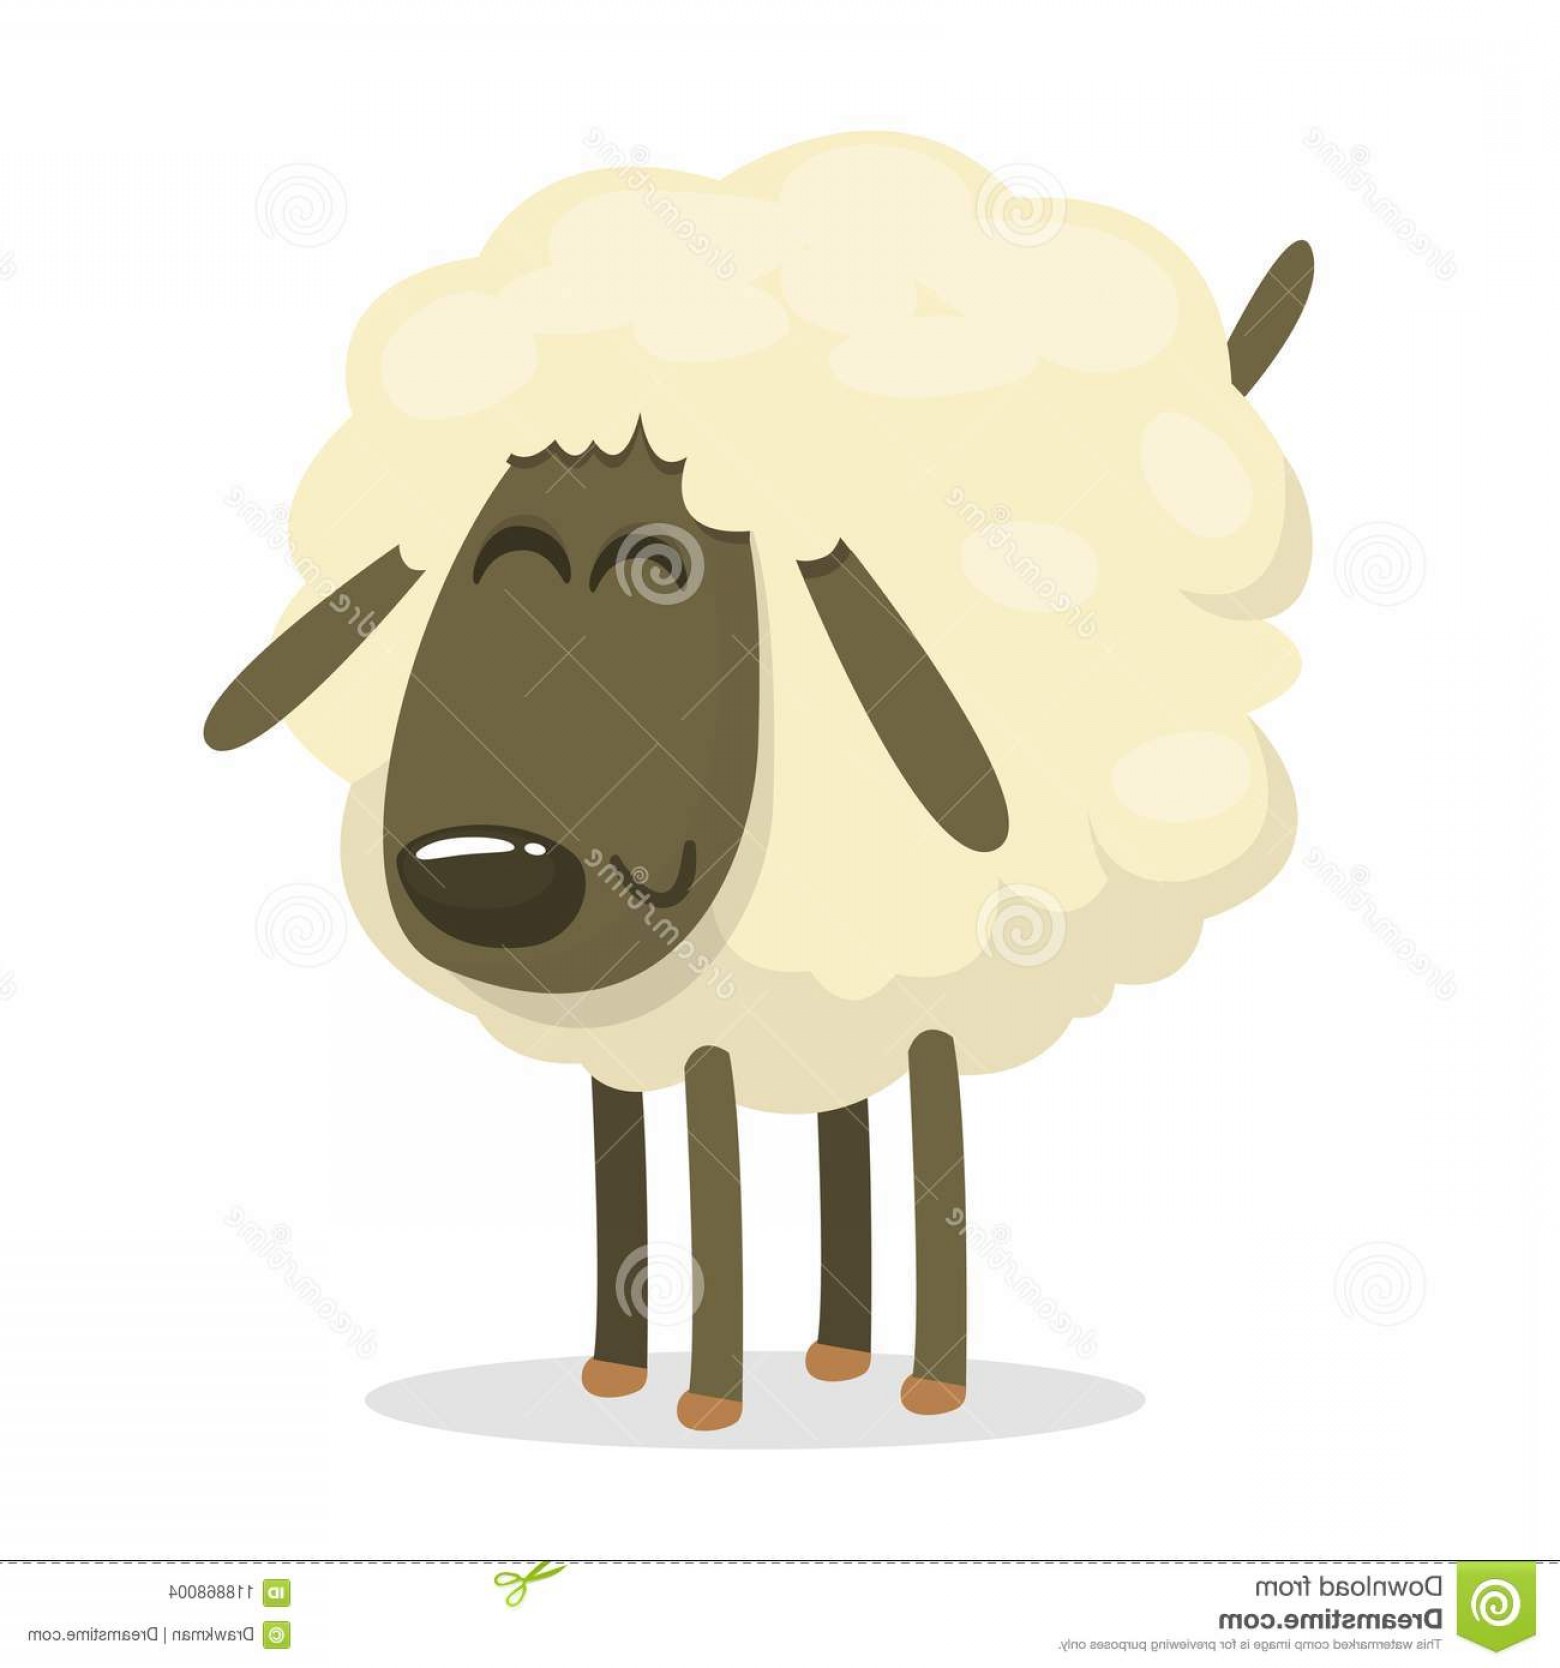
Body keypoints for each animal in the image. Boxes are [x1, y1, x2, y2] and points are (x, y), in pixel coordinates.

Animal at [206, 133, 1314, 1432]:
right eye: (478, 556)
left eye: (668, 568)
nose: (487, 876)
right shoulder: (646, 1026)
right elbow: (634, 1155)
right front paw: (617, 1372)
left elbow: (718, 1159)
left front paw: (712, 1400)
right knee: (842, 1123)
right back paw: (835, 1352)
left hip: (917, 972)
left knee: (920, 1106)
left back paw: (926, 1380)